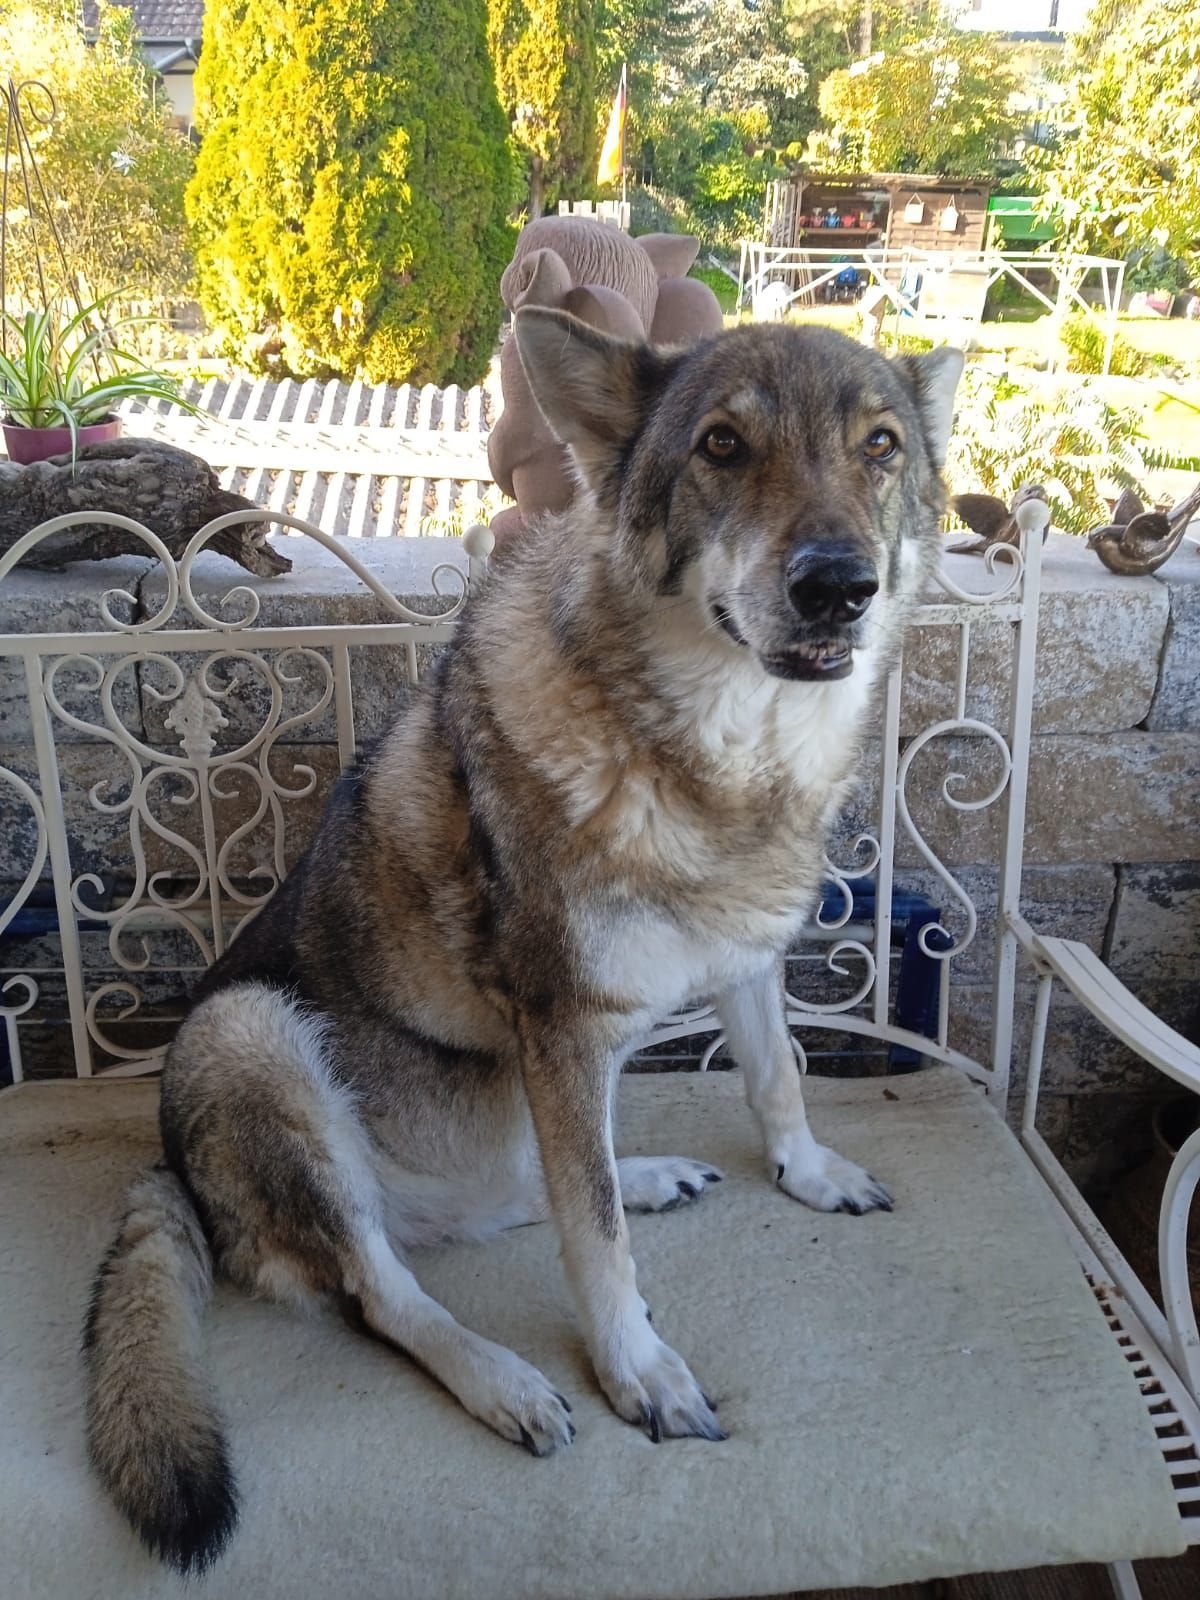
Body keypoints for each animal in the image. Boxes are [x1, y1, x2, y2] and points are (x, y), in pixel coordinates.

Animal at [83, 309, 962, 1573]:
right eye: (724, 444)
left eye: (881, 446)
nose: (839, 587)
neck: (720, 756)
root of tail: (176, 1173)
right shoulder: (562, 1028)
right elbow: (595, 1245)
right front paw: (636, 1371)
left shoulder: (742, 958)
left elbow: (776, 1077)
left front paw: (807, 1173)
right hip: (247, 1034)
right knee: (392, 1288)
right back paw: (504, 1380)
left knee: (527, 1189)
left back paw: (646, 1174)